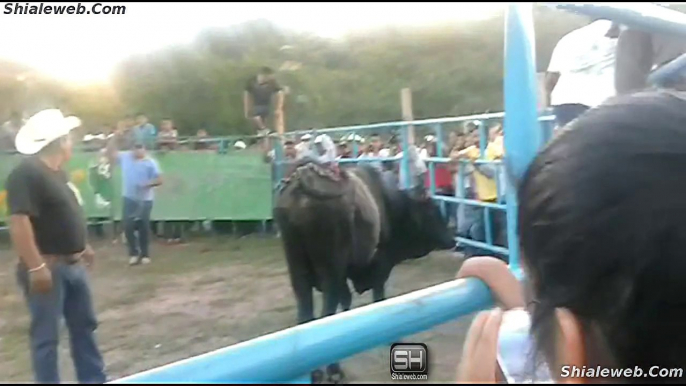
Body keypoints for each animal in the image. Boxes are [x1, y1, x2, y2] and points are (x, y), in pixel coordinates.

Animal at [274, 162, 456, 382]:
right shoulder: (378, 266)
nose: (453, 239)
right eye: (432, 211)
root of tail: (302, 183)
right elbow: (378, 298)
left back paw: (316, 372)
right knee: (326, 312)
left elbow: (346, 301)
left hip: (299, 272)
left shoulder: (345, 276)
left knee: (305, 313)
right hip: (330, 273)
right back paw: (333, 370)